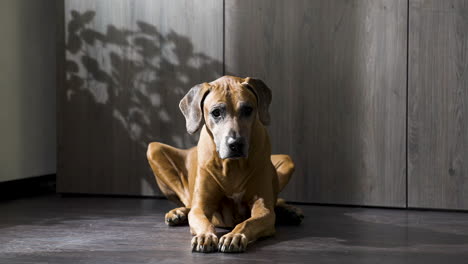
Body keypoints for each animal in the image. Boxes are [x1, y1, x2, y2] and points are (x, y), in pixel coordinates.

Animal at [148, 75, 306, 253]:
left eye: (247, 110)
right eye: (216, 113)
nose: (235, 144)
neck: (232, 165)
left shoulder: (264, 209)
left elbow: (249, 221)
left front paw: (234, 235)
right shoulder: (201, 207)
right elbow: (200, 216)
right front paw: (205, 235)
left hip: (288, 160)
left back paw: (289, 211)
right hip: (153, 149)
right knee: (189, 204)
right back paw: (177, 213)